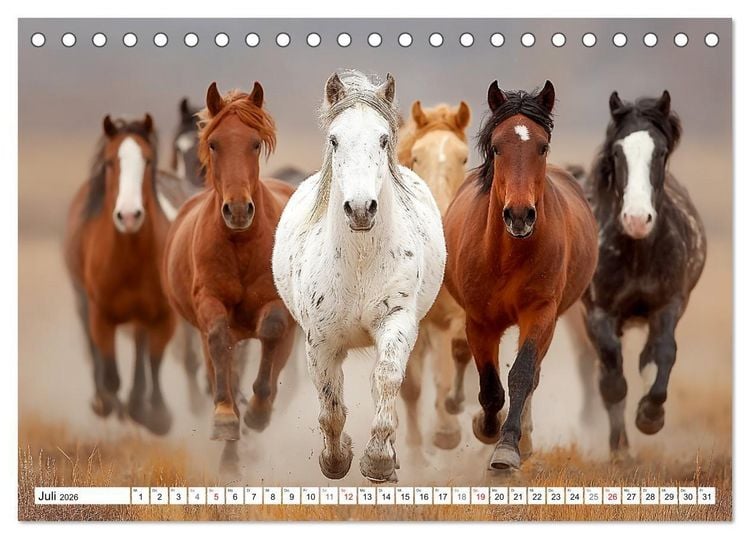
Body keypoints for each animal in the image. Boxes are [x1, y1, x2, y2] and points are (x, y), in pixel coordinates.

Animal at [64, 114, 175, 435]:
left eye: (147, 160)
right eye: (111, 161)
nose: (128, 216)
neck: (129, 257)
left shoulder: (162, 315)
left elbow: (154, 359)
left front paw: (154, 414)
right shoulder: (101, 314)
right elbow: (110, 371)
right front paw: (109, 402)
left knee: (140, 349)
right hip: (82, 300)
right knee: (93, 347)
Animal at [163, 81, 296, 446]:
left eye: (255, 143)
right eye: (213, 143)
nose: (237, 210)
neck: (241, 245)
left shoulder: (274, 304)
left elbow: (272, 331)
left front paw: (258, 410)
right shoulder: (209, 302)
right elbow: (218, 342)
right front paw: (225, 413)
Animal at [272, 70, 446, 482]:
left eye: (383, 139)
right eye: (335, 139)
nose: (361, 208)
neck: (361, 262)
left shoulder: (397, 322)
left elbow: (387, 379)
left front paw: (378, 460)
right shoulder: (319, 341)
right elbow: (330, 406)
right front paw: (336, 460)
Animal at [443, 80, 599, 470]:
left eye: (542, 146)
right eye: (497, 147)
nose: (519, 215)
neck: (508, 255)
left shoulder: (540, 312)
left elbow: (522, 375)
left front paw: (507, 447)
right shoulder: (479, 321)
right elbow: (489, 386)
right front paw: (486, 428)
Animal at [579, 90, 706, 459]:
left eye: (660, 152)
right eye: (617, 152)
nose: (637, 219)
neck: (637, 254)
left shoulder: (668, 305)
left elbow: (662, 354)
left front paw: (650, 416)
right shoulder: (599, 313)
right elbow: (612, 378)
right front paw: (620, 449)